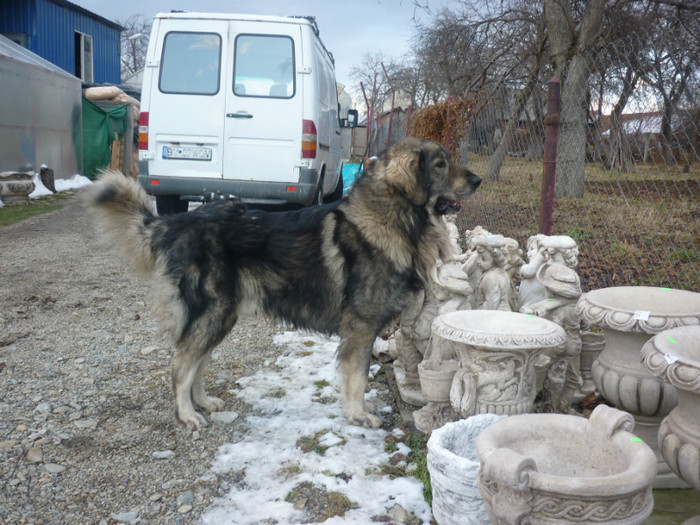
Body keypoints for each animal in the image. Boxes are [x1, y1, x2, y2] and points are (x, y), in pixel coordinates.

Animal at [86, 137, 482, 428]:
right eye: (440, 164)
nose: (478, 180)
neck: (395, 217)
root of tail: (176, 224)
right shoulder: (361, 327)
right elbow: (356, 376)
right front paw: (358, 415)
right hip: (213, 313)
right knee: (181, 364)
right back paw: (187, 416)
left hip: (220, 317)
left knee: (197, 361)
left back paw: (204, 403)